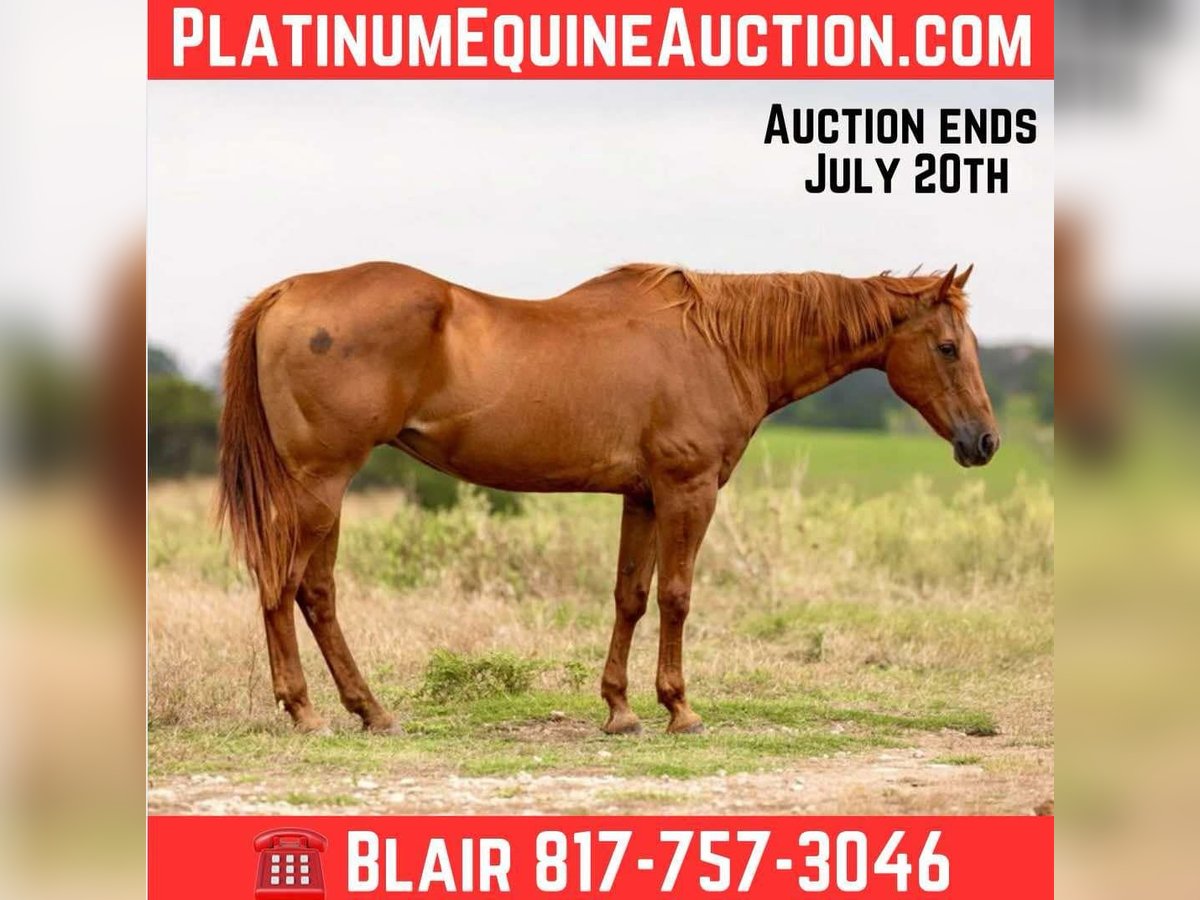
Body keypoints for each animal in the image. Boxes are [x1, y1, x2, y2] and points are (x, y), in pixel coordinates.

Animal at [217, 261, 998, 736]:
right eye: (948, 347)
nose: (984, 442)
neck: (719, 343)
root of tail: (287, 293)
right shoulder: (688, 492)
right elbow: (677, 595)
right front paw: (679, 708)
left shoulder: (643, 498)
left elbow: (631, 596)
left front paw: (620, 708)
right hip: (319, 485)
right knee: (283, 585)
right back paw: (306, 710)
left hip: (328, 490)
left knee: (315, 592)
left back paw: (370, 710)